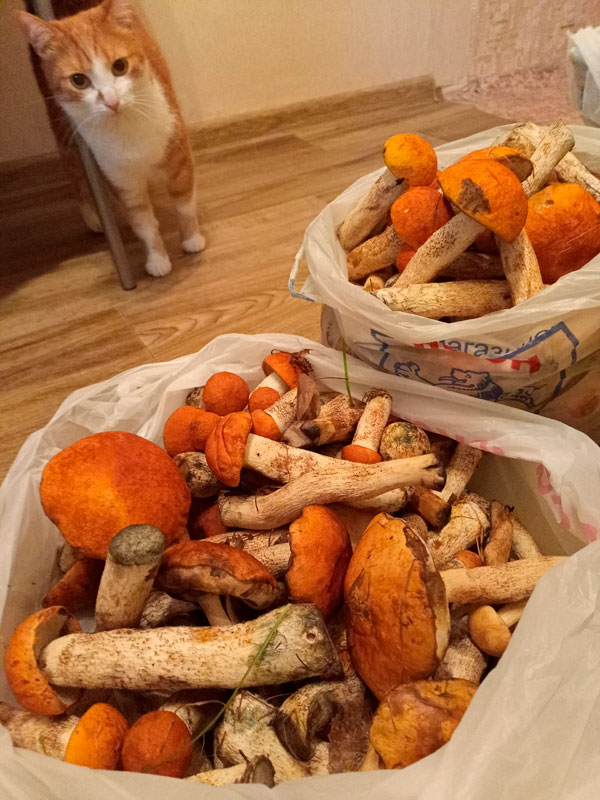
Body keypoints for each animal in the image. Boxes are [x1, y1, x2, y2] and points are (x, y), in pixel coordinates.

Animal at [17, 0, 204, 277]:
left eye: (119, 66)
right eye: (78, 80)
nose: (111, 101)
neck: (126, 130)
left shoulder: (178, 157)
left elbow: (184, 205)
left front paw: (191, 240)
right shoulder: (120, 180)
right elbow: (143, 224)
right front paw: (157, 259)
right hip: (65, 135)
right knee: (75, 176)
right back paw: (93, 218)